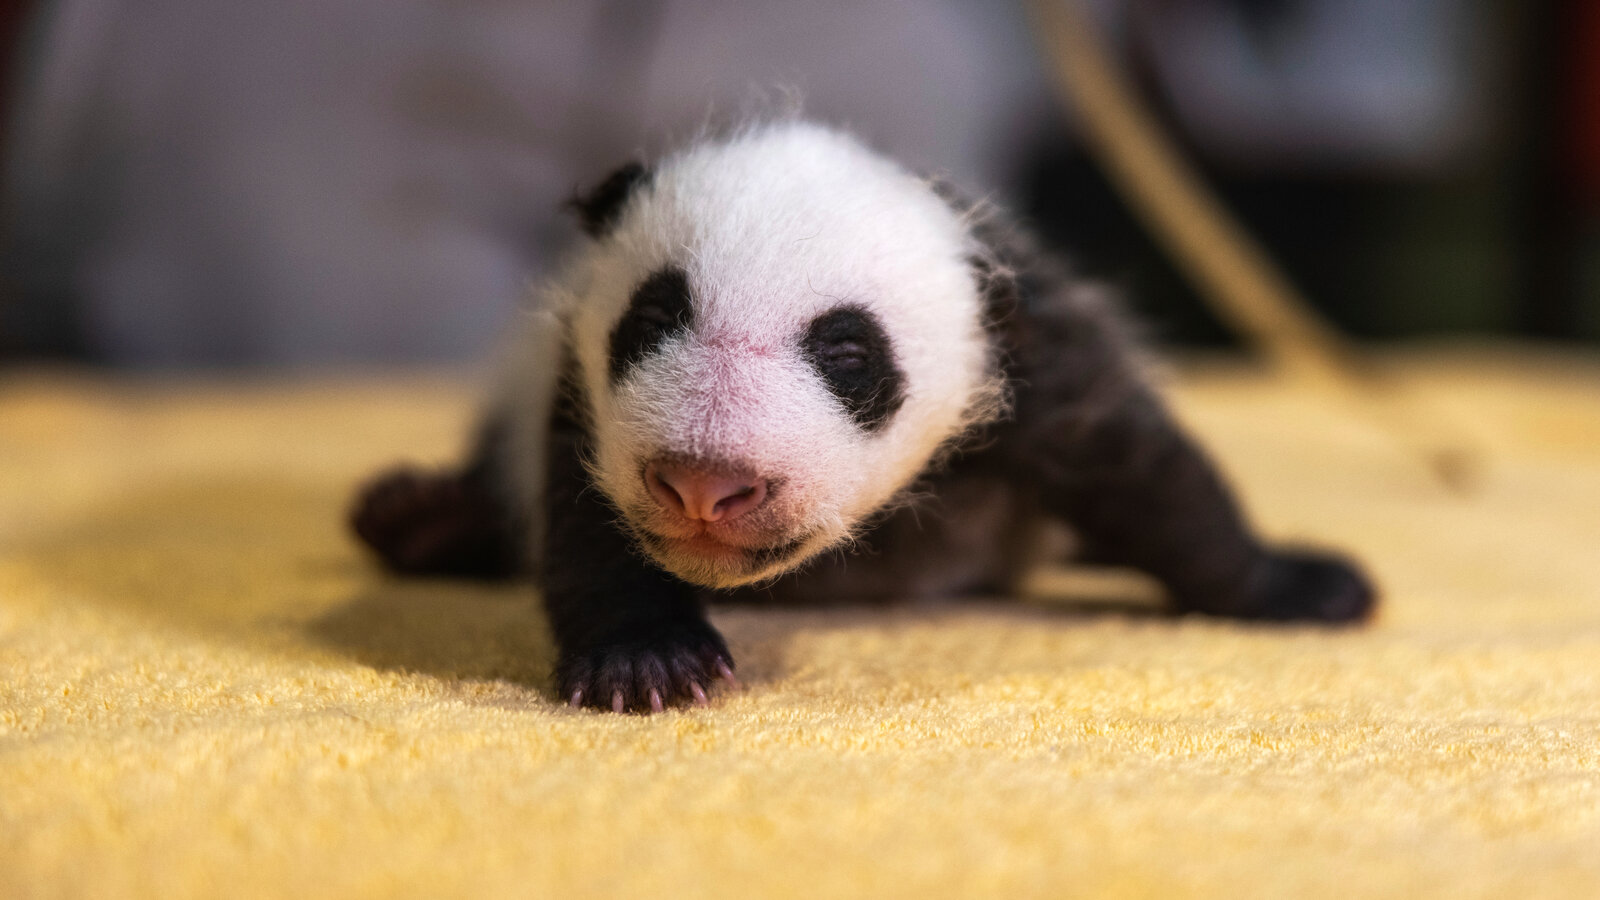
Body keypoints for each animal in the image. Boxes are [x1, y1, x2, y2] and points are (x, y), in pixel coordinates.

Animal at [351, 119, 1375, 714]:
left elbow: (1147, 476)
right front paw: (646, 659)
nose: (704, 487)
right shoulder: (578, 387)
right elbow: (586, 513)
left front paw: (1300, 584)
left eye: (848, 356)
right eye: (651, 319)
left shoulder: (1027, 350)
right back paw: (421, 518)